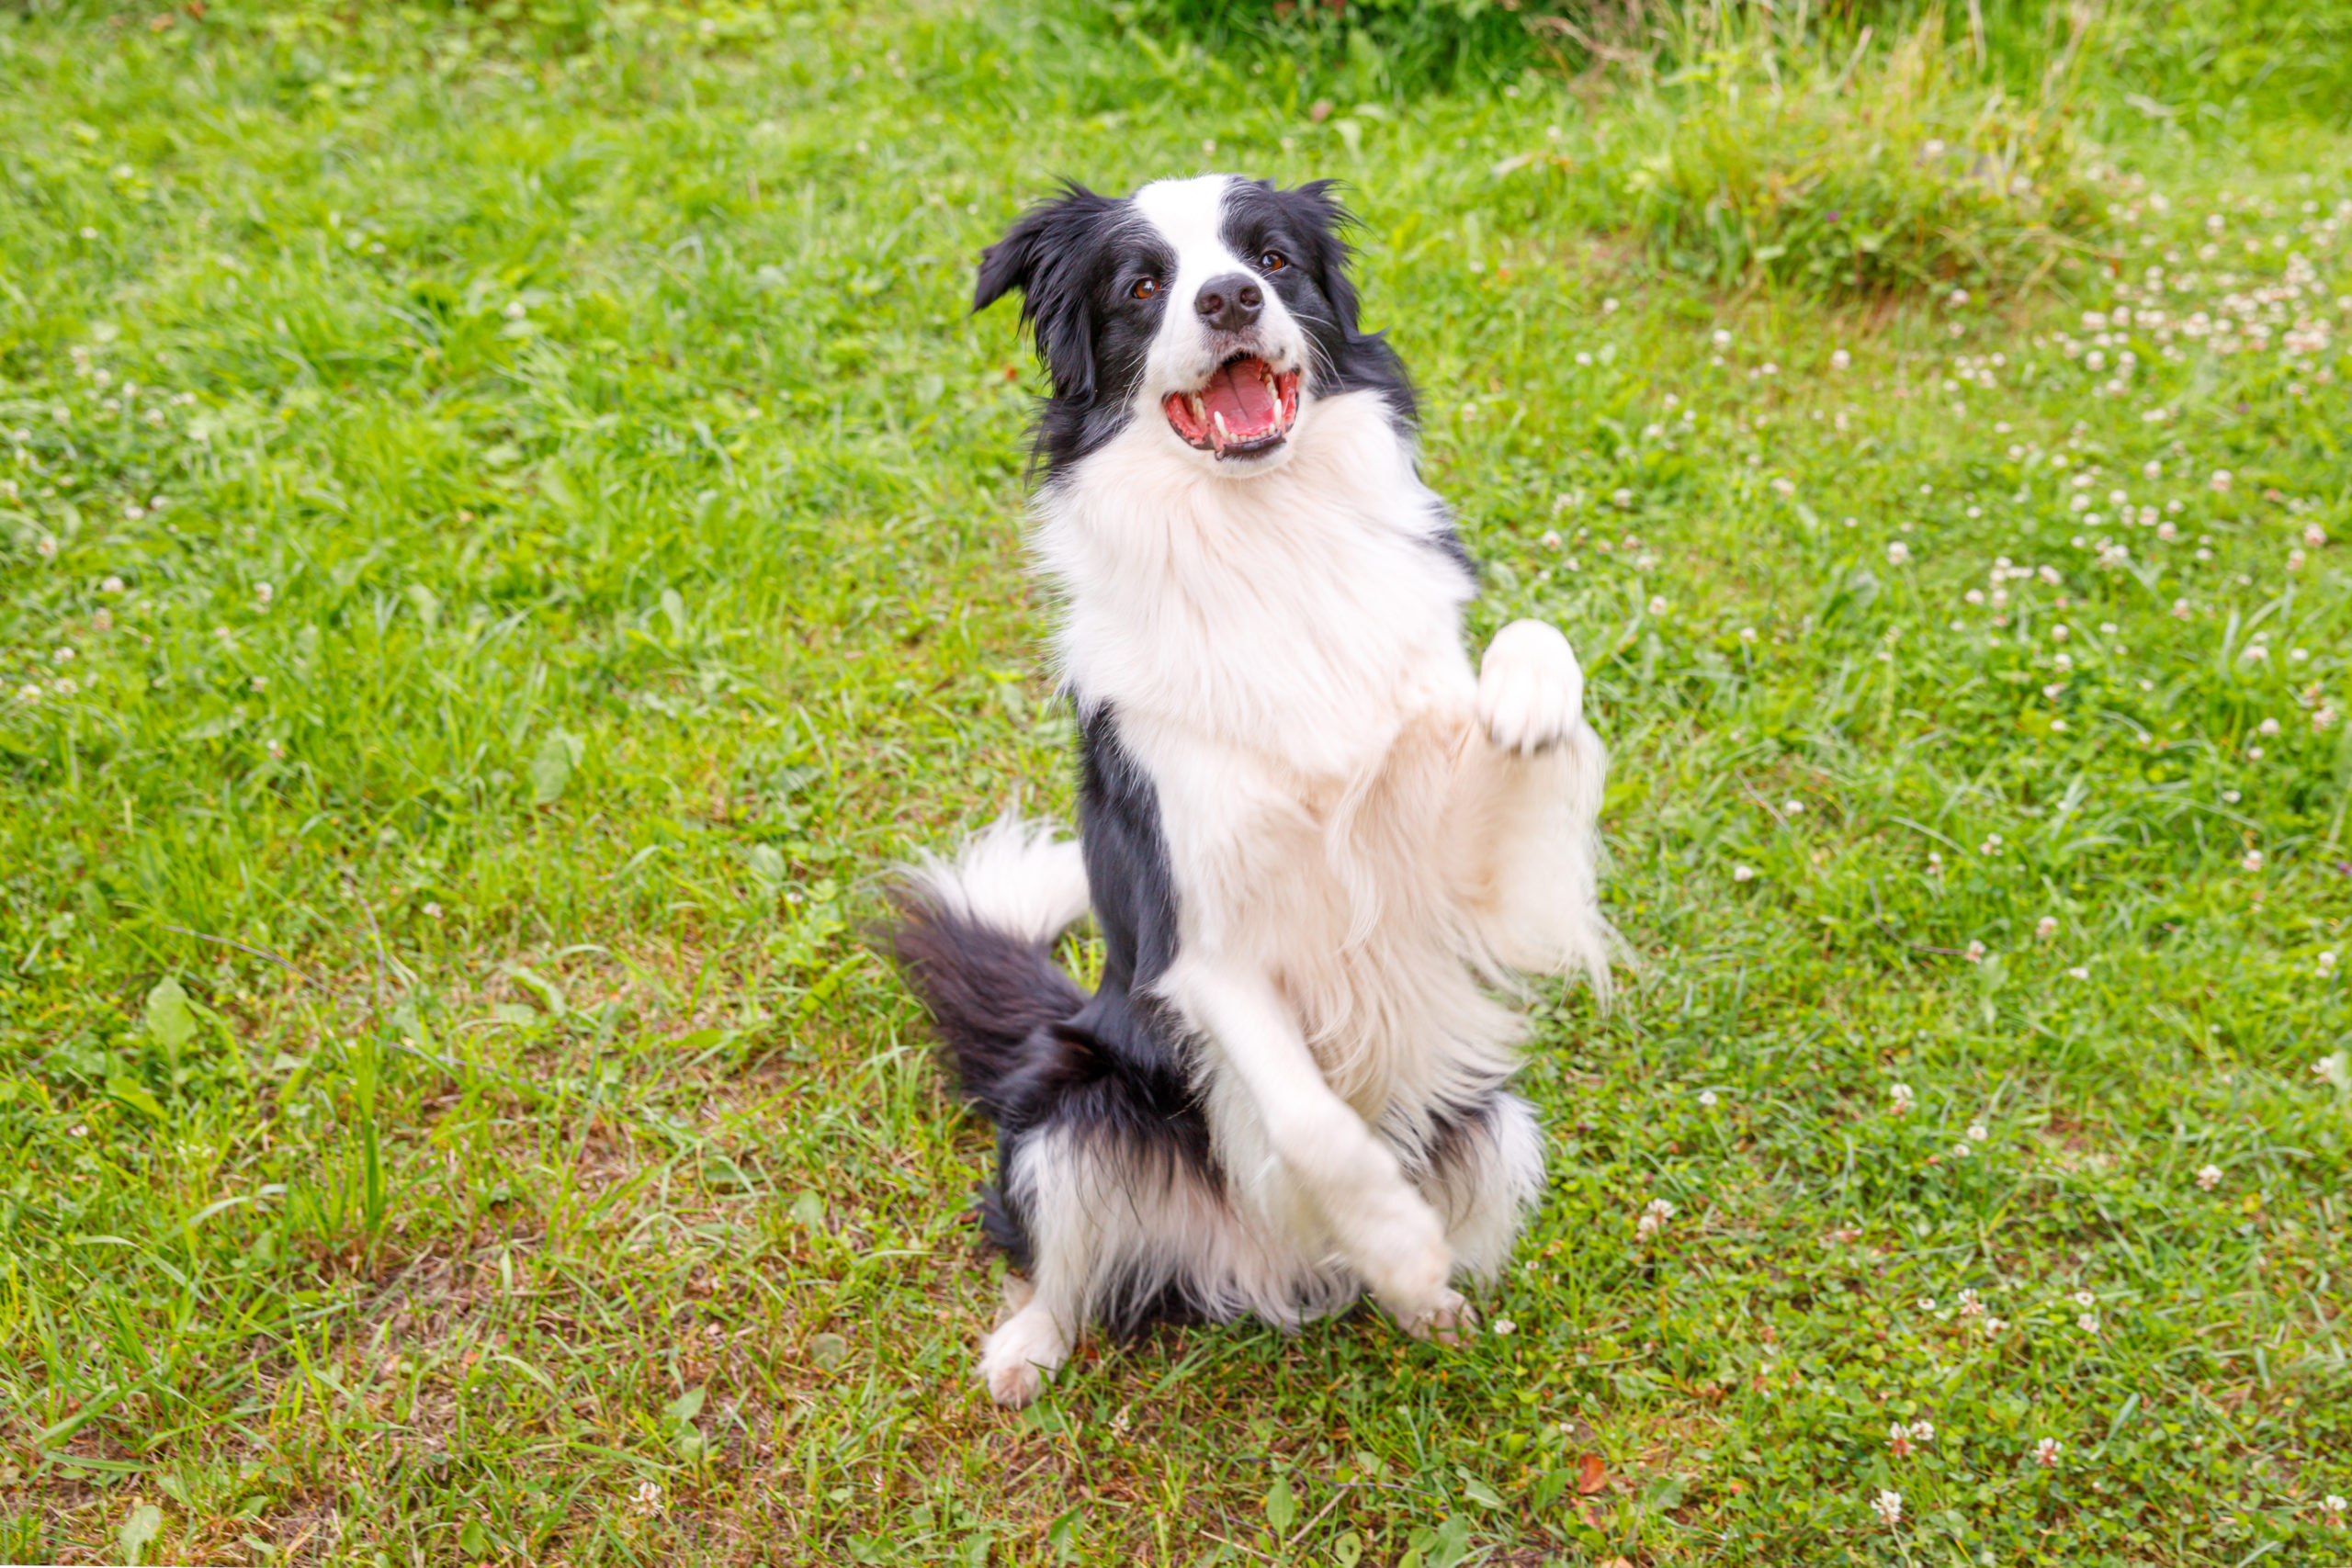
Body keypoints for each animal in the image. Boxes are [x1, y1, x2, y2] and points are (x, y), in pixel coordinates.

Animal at [888, 175, 1609, 1410]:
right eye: (1143, 285)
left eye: (1269, 258)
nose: (1227, 299)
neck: (1262, 537)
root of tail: (1266, 1270)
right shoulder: (1204, 942)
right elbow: (1313, 1123)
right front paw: (1398, 1241)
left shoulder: (1454, 883)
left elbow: (1524, 651)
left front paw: (1527, 696)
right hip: (1072, 1108)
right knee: (1056, 1268)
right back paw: (1027, 1350)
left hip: (1494, 1119)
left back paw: (1431, 1312)